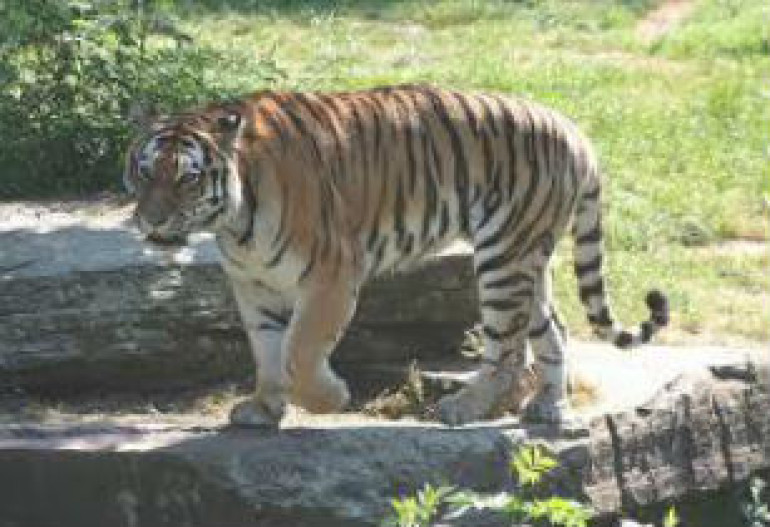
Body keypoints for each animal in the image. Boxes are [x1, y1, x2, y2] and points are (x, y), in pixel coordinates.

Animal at [123, 84, 669, 427]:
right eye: (145, 172)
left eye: (188, 179)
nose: (151, 221)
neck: (234, 224)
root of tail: (574, 129)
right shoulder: (253, 285)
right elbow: (267, 352)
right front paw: (263, 409)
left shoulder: (332, 275)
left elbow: (300, 351)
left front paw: (330, 399)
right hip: (529, 260)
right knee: (552, 330)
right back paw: (548, 406)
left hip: (504, 257)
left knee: (508, 351)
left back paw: (462, 409)